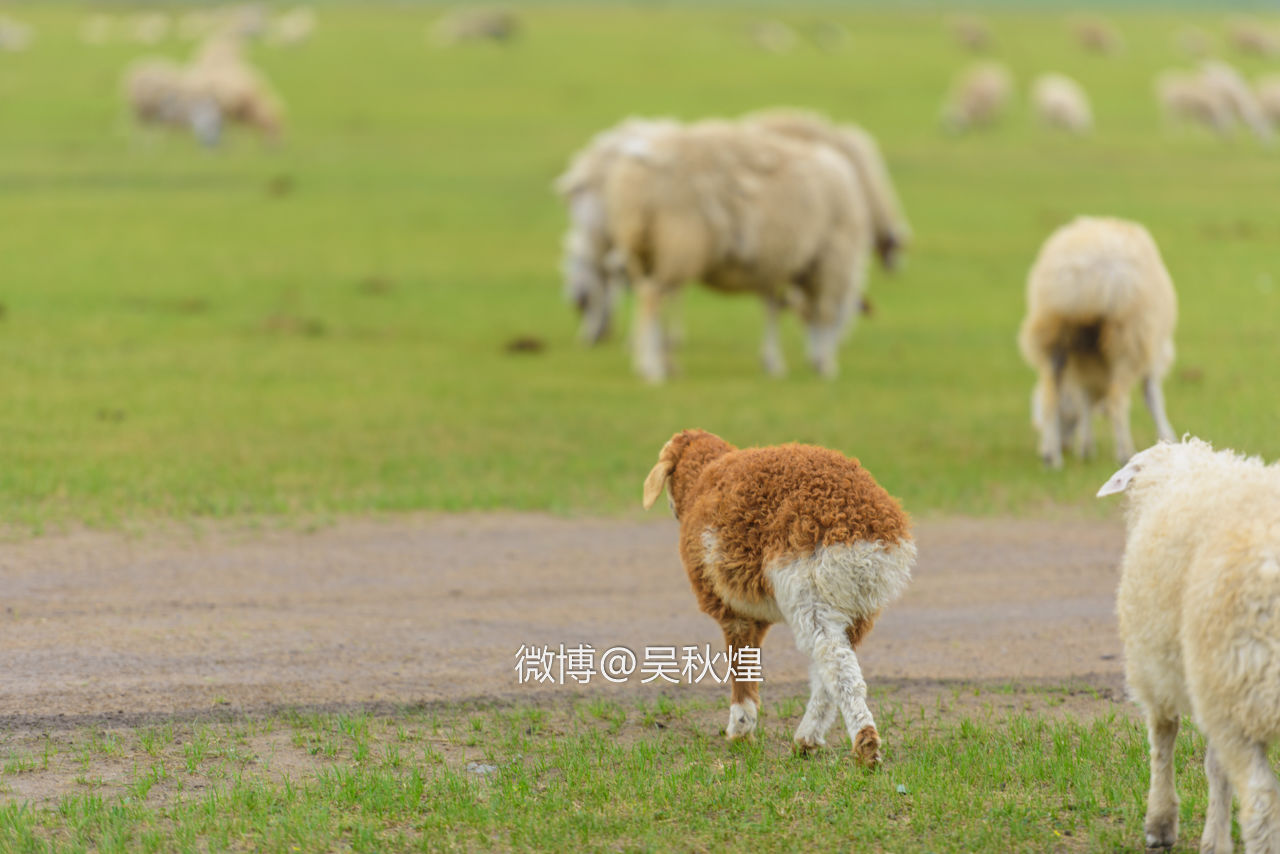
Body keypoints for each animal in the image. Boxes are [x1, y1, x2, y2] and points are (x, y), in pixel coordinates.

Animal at [604, 119, 875, 381]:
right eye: (847, 319)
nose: (814, 361)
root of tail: (638, 174)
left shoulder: (776, 266)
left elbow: (773, 309)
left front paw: (774, 363)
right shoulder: (832, 258)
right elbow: (824, 312)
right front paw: (827, 366)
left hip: (641, 252)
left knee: (647, 296)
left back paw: (657, 363)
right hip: (680, 245)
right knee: (652, 298)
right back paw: (652, 369)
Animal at [645, 430, 916, 763]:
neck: (703, 478)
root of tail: (870, 534)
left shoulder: (733, 611)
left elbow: (741, 669)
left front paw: (740, 729)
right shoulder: (755, 614)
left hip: (810, 591)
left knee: (837, 664)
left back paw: (864, 744)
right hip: (859, 606)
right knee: (831, 666)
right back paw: (807, 740)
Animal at [1018, 213, 1177, 468]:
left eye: (1066, 416)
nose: (1042, 451)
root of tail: (1086, 267)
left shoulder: (1085, 361)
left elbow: (1084, 399)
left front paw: (1085, 447)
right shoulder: (1150, 352)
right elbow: (1152, 396)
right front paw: (1168, 437)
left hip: (1054, 334)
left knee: (1051, 395)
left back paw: (1053, 458)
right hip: (1128, 337)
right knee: (1116, 400)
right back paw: (1124, 453)